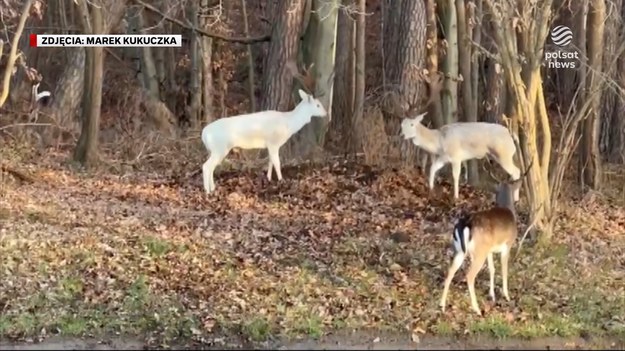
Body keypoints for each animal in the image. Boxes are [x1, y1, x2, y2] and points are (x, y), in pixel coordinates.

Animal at [201, 63, 332, 195]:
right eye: (318, 105)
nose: (326, 113)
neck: (288, 124)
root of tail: (204, 134)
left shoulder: (269, 145)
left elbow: (270, 161)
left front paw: (268, 178)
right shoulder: (274, 142)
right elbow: (277, 162)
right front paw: (281, 181)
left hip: (214, 149)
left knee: (210, 167)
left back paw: (212, 188)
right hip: (220, 148)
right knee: (206, 166)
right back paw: (207, 191)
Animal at [436, 161, 532, 314]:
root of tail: (465, 224)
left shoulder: (490, 250)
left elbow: (492, 269)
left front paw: (492, 295)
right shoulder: (507, 245)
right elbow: (504, 270)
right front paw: (506, 295)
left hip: (460, 250)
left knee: (450, 271)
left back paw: (442, 305)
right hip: (478, 252)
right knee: (469, 276)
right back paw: (476, 309)